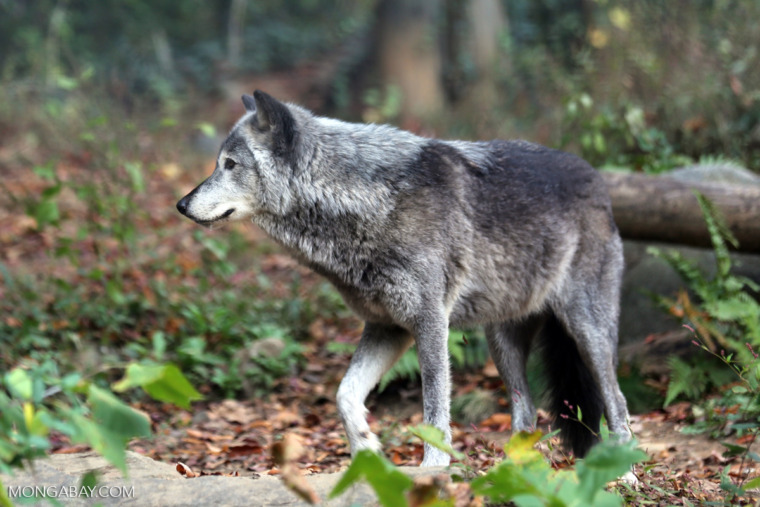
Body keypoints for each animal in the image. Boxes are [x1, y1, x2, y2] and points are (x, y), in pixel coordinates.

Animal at [176, 90, 632, 466]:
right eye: (219, 164)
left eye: (230, 165)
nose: (181, 204)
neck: (369, 201)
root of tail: (597, 178)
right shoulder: (387, 327)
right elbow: (344, 395)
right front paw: (366, 450)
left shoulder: (431, 323)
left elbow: (434, 412)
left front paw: (432, 471)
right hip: (502, 344)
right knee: (525, 415)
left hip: (586, 330)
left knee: (617, 401)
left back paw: (623, 475)